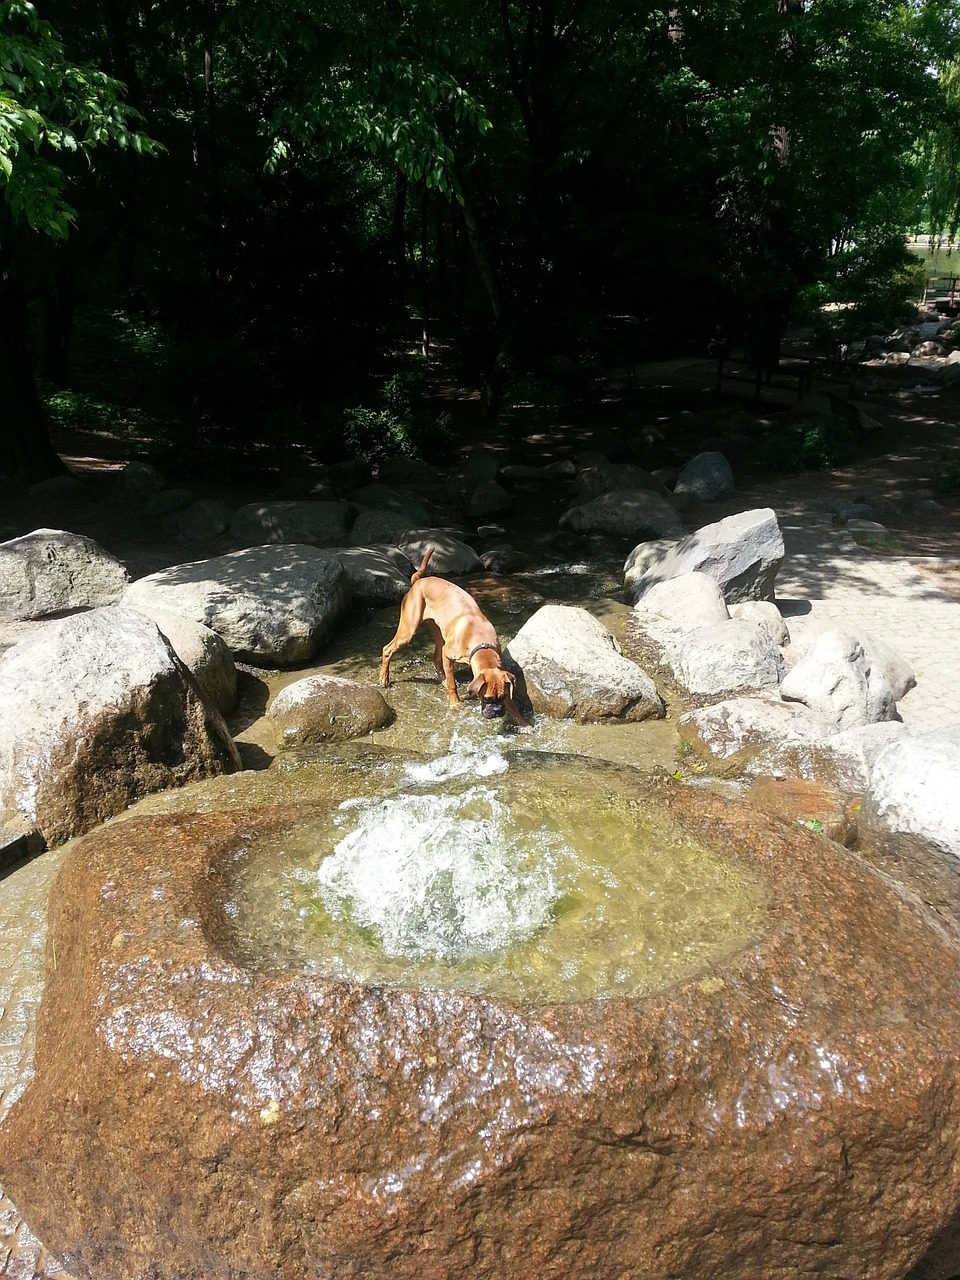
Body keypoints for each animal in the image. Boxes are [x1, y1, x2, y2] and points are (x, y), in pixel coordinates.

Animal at [378, 547, 529, 727]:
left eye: (503, 696)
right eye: (487, 698)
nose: (497, 712)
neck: (481, 642)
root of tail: (418, 581)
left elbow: (512, 705)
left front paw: (522, 723)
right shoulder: (448, 655)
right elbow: (452, 683)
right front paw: (455, 703)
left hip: (439, 634)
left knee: (434, 656)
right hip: (409, 630)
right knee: (387, 649)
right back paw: (383, 679)